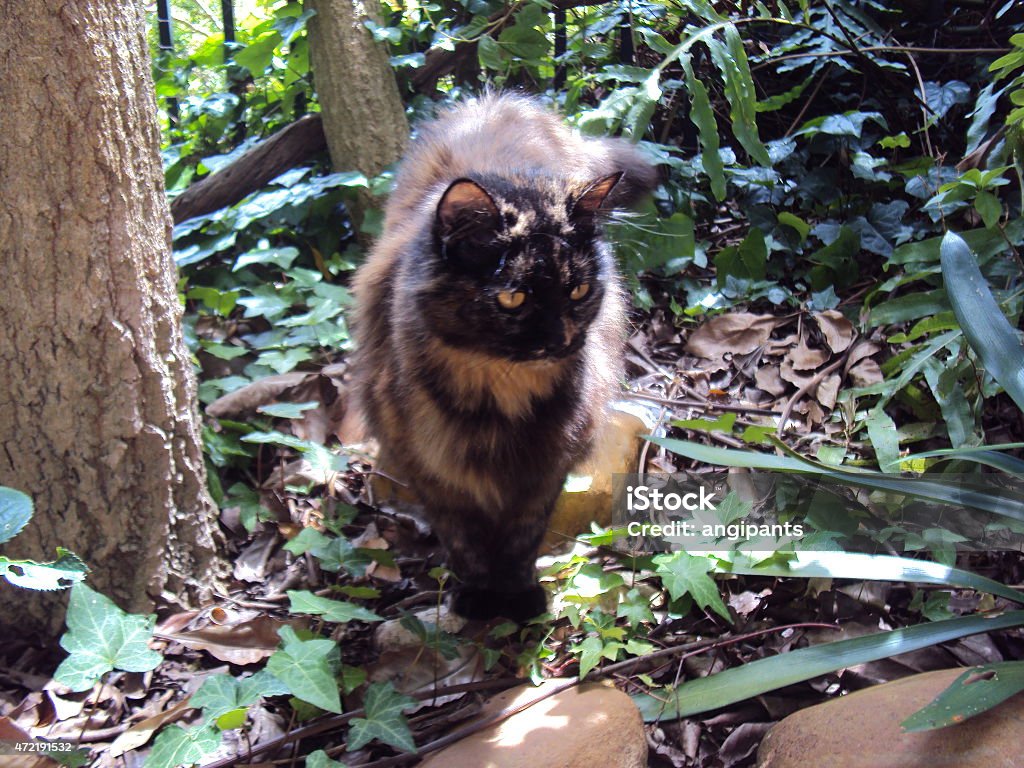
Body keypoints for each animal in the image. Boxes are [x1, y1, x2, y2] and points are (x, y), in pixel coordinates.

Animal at [352, 93, 655, 622]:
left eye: (578, 291)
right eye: (514, 298)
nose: (560, 339)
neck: (499, 398)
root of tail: (499, 99)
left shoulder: (545, 466)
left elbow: (520, 538)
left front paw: (517, 596)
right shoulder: (433, 469)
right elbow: (465, 541)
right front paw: (477, 596)